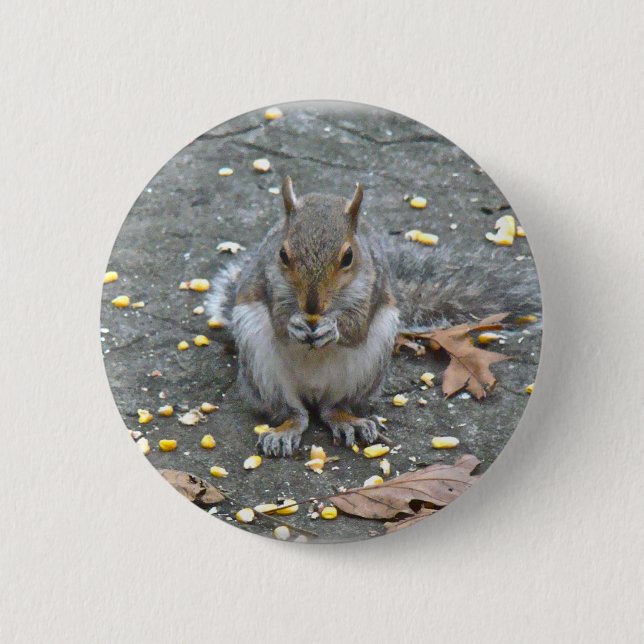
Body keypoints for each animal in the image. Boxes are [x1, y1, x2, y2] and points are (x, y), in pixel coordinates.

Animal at [207, 176, 540, 457]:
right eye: (282, 255)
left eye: (348, 257)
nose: (312, 307)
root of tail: (312, 393)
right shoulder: (267, 283)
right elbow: (278, 321)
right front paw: (294, 325)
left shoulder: (372, 287)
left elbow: (356, 328)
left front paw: (333, 329)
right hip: (261, 366)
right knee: (293, 412)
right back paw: (286, 429)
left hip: (368, 364)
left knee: (332, 408)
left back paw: (348, 420)